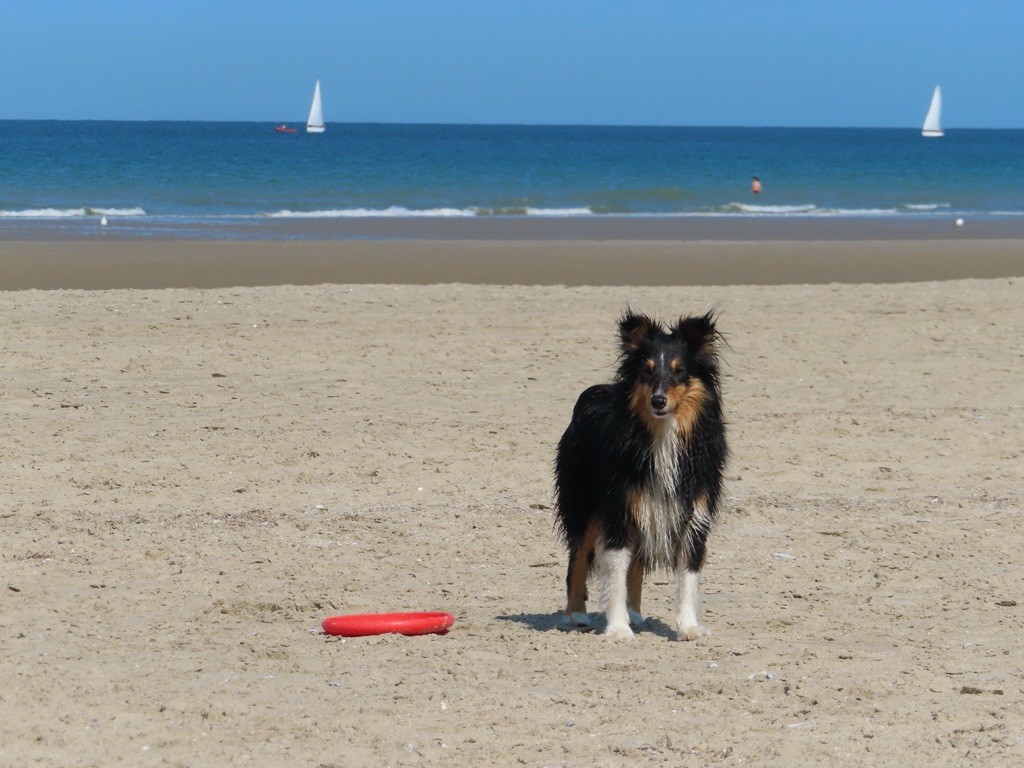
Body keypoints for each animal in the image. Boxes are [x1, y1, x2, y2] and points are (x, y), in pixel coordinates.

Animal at [552, 309, 729, 638]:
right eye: (646, 372)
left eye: (679, 371)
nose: (657, 400)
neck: (664, 432)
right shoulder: (620, 507)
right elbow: (615, 571)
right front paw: (618, 630)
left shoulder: (693, 513)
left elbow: (689, 574)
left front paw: (689, 627)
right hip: (583, 502)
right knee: (577, 557)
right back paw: (576, 614)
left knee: (634, 563)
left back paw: (634, 613)